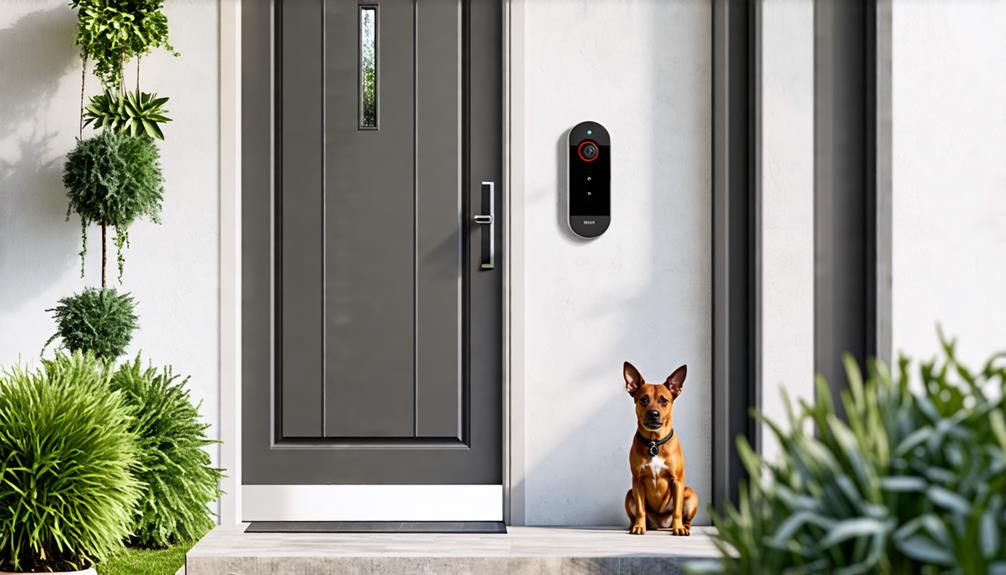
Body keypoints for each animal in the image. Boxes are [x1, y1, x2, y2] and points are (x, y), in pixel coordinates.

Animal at [623, 361, 696, 538]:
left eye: (664, 400)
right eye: (643, 399)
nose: (653, 414)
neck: (654, 443)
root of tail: (661, 524)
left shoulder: (677, 481)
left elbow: (677, 510)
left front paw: (678, 528)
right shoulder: (637, 481)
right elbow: (641, 510)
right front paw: (639, 526)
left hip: (691, 493)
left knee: (687, 518)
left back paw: (684, 527)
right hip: (629, 494)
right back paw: (636, 525)